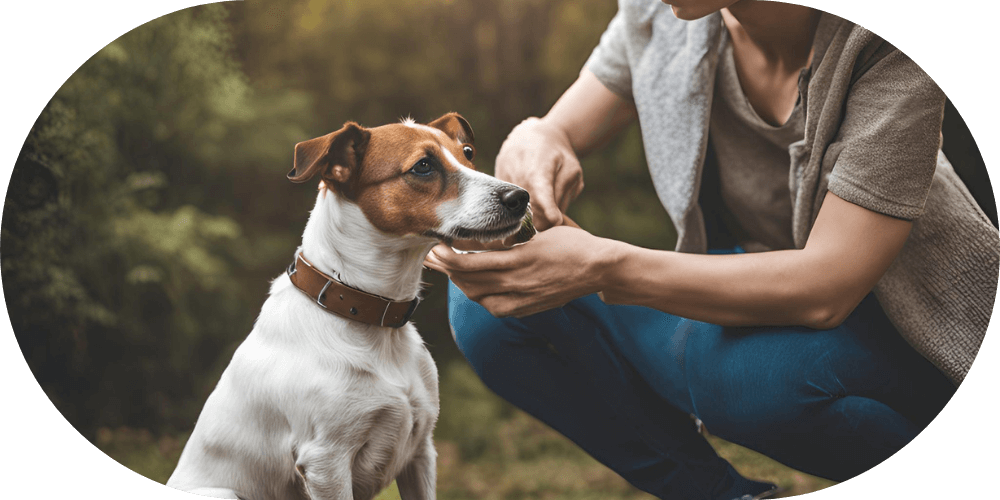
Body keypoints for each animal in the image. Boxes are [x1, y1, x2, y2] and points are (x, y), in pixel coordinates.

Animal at [166, 114, 532, 500]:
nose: (520, 196)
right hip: (226, 492)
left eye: (467, 153)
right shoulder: (326, 461)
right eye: (423, 166)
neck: (366, 313)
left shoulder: (421, 450)